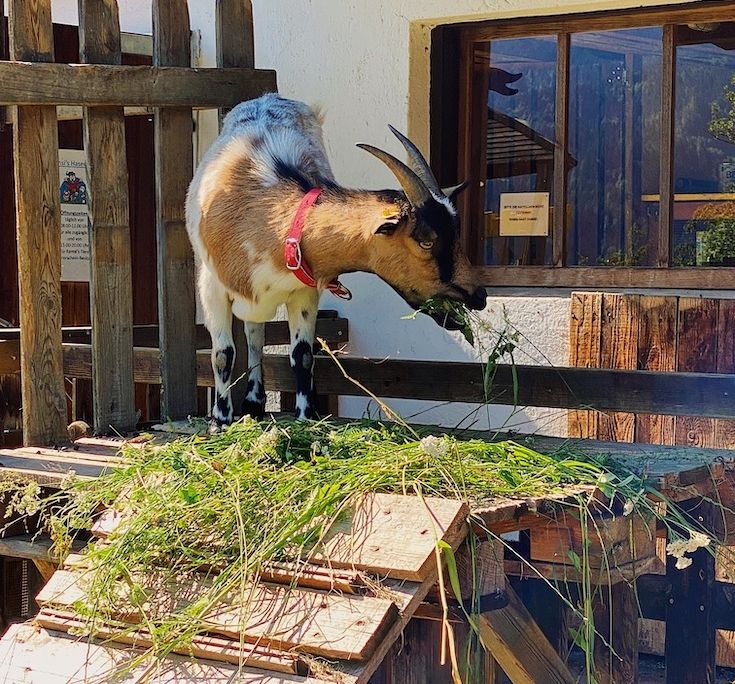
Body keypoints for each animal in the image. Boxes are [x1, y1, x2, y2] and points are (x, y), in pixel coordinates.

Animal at [187, 91, 488, 422]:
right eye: (426, 241)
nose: (479, 295)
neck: (267, 219)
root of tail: (269, 97)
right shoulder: (211, 287)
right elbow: (222, 354)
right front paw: (220, 420)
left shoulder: (304, 292)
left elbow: (302, 355)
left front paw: (307, 414)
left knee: (256, 334)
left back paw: (254, 403)